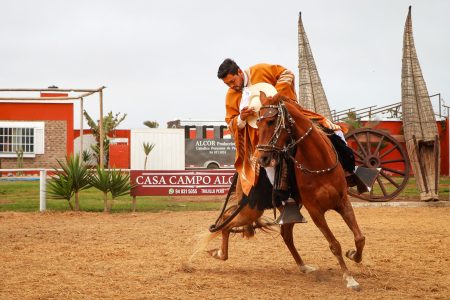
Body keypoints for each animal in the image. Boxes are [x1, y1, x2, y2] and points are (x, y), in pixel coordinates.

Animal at [253, 92, 366, 290]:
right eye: (257, 124)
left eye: (271, 121)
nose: (263, 158)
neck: (319, 162)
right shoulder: (315, 212)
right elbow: (334, 244)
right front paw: (349, 278)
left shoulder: (343, 202)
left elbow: (359, 237)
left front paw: (353, 255)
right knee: (286, 235)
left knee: (286, 234)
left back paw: (304, 266)